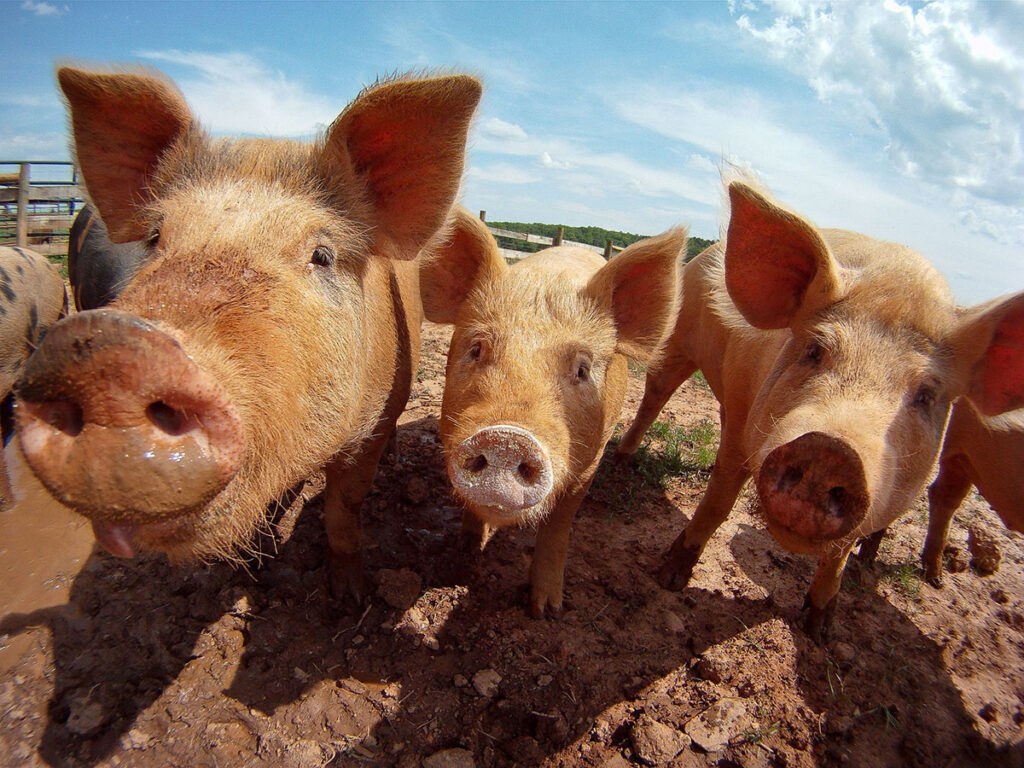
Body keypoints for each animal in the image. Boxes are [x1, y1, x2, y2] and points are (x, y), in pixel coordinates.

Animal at [15, 66, 480, 599]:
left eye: (322, 255)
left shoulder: (368, 430)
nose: (110, 349)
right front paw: (253, 570)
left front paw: (348, 595)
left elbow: (344, 510)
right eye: (155, 238)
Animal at [420, 207, 687, 617]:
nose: (507, 438)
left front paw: (546, 610)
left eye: (582, 369)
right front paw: (465, 553)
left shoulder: (589, 463)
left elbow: (558, 525)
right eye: (477, 349)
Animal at [615, 180, 1024, 640]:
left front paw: (820, 632)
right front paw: (669, 578)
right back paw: (623, 459)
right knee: (655, 397)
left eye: (925, 396)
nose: (831, 451)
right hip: (678, 340)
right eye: (814, 350)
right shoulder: (743, 423)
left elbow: (838, 557)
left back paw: (932, 580)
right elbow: (719, 502)